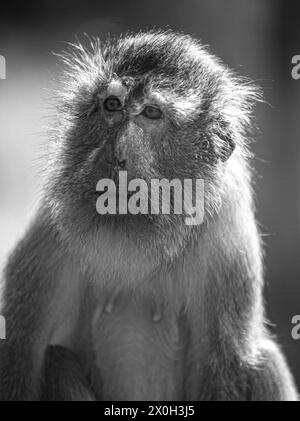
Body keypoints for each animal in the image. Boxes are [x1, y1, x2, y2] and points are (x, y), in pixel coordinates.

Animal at [0, 30, 298, 400]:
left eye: (152, 113)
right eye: (112, 105)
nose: (116, 154)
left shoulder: (227, 242)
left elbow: (224, 366)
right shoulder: (51, 228)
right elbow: (19, 351)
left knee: (265, 360)